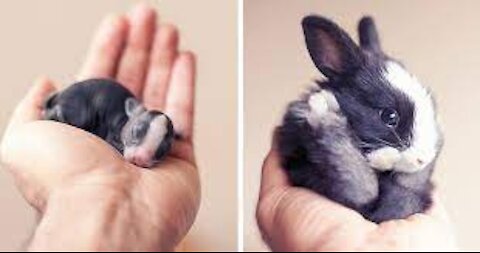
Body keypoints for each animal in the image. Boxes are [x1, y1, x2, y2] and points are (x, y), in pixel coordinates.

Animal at [42, 79, 174, 168]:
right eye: (135, 132)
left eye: (163, 150)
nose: (139, 158)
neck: (126, 119)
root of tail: (60, 95)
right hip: (80, 112)